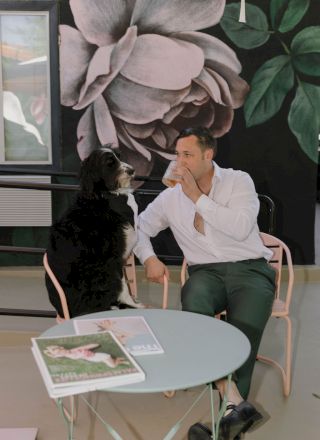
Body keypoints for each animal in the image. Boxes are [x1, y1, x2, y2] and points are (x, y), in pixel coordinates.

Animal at [45, 146, 141, 318]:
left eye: (119, 156)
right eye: (110, 163)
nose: (132, 170)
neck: (103, 195)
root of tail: (64, 311)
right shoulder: (113, 258)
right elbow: (123, 284)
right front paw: (132, 304)